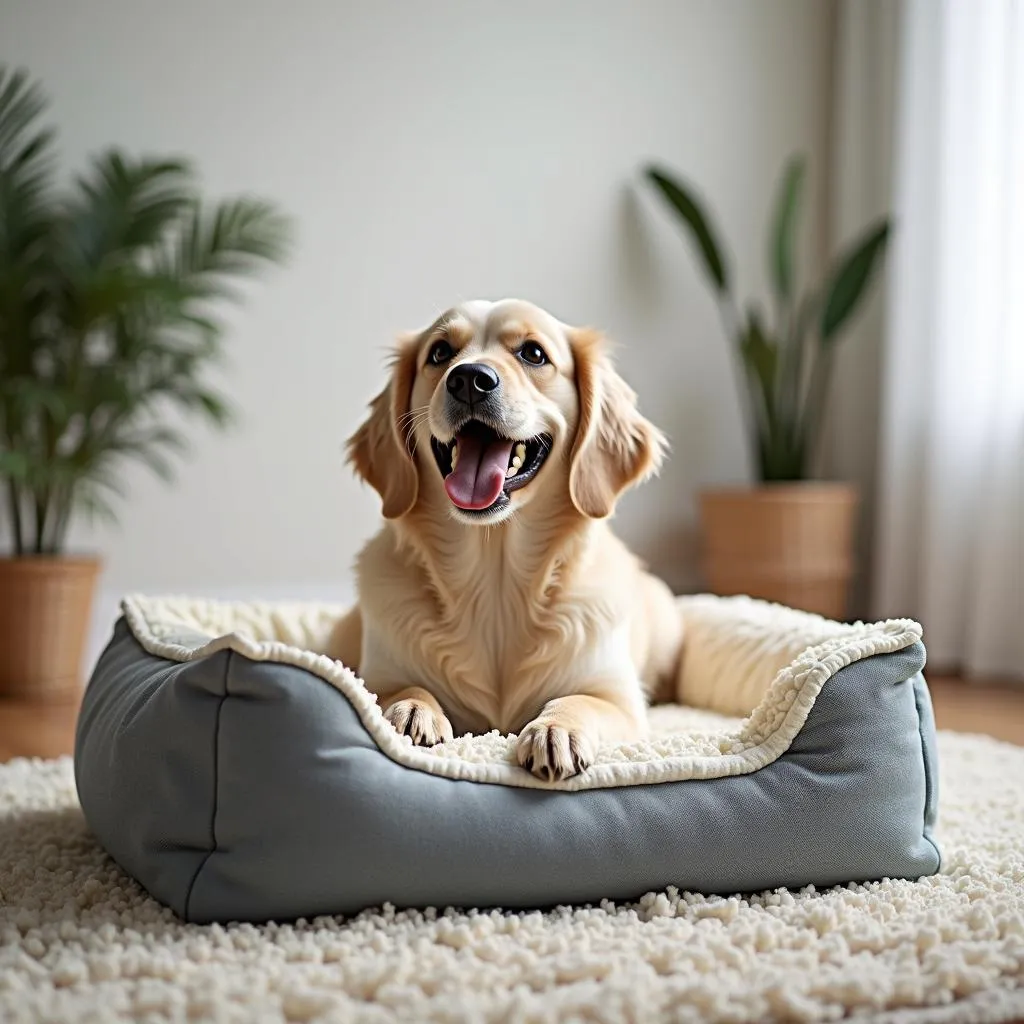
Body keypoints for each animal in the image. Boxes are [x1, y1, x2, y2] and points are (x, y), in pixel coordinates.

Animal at [325, 299, 679, 778]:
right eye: (439, 353)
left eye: (533, 353)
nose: (469, 379)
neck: (495, 582)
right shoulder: (376, 677)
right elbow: (398, 689)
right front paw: (413, 709)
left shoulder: (618, 699)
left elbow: (579, 700)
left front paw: (556, 730)